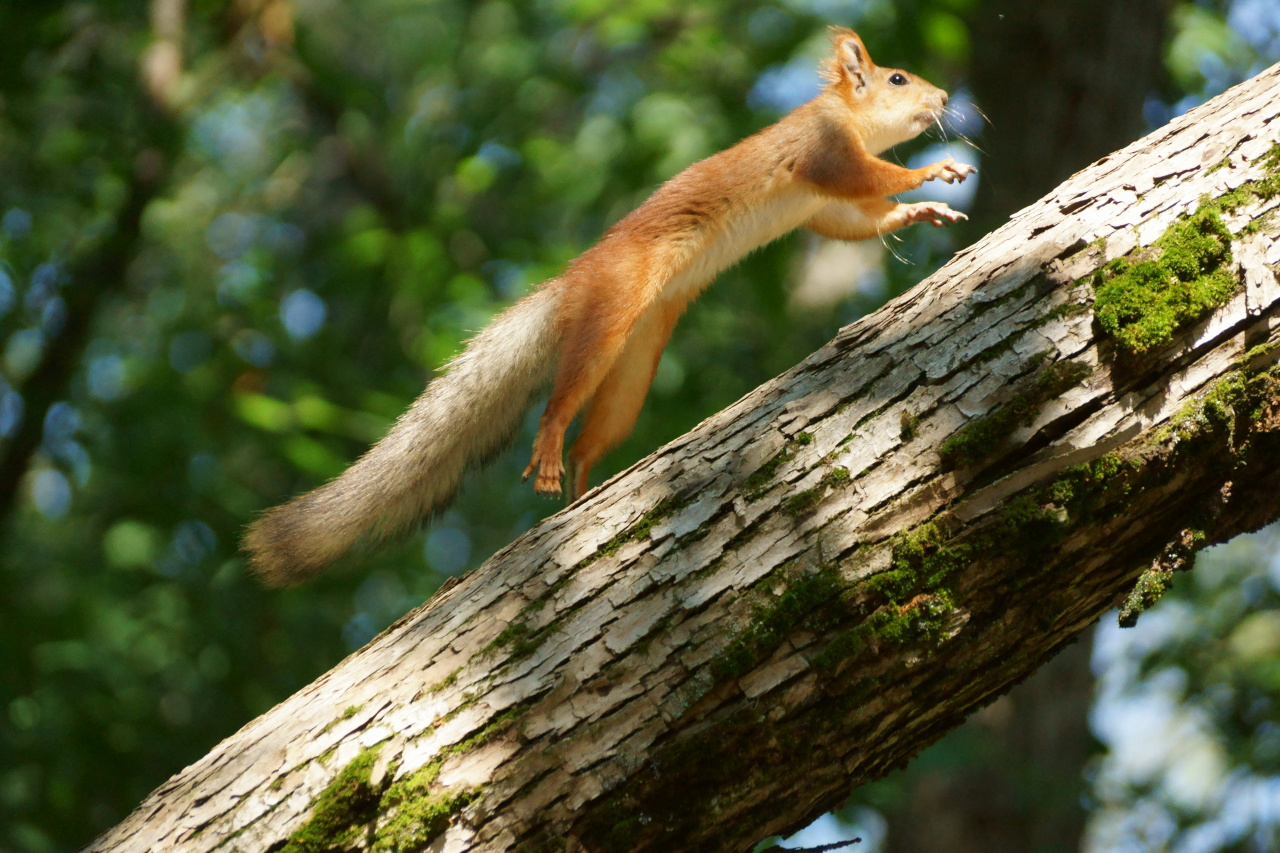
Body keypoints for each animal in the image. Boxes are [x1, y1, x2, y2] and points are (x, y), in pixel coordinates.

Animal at [244, 27, 975, 586]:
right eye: (898, 78)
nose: (945, 97)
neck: (847, 118)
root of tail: (572, 282)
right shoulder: (822, 151)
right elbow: (863, 178)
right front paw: (931, 173)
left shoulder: (819, 206)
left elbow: (851, 218)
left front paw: (916, 211)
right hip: (610, 312)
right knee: (559, 404)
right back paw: (548, 454)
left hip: (632, 371)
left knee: (591, 438)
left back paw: (582, 494)